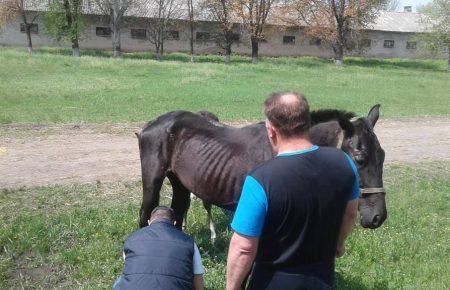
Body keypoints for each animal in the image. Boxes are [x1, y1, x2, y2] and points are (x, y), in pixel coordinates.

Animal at [136, 106, 386, 231]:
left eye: (382, 156)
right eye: (360, 159)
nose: (378, 217)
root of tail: (154, 123)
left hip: (179, 182)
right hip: (152, 182)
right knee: (145, 214)